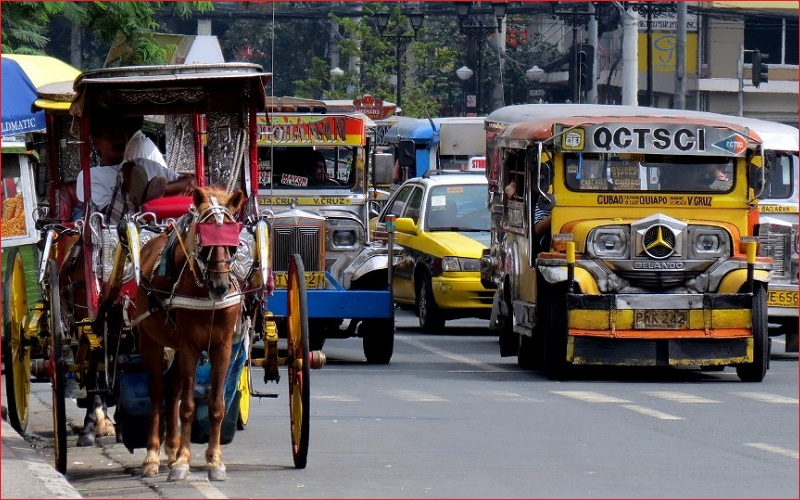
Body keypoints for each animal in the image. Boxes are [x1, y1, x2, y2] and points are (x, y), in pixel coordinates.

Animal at [133, 187, 245, 480]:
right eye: (203, 239)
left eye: (233, 239)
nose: (220, 286)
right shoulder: (188, 347)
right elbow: (188, 406)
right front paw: (184, 461)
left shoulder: (222, 347)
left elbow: (216, 405)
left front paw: (214, 460)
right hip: (151, 341)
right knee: (158, 392)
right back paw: (153, 455)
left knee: (172, 389)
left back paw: (171, 449)